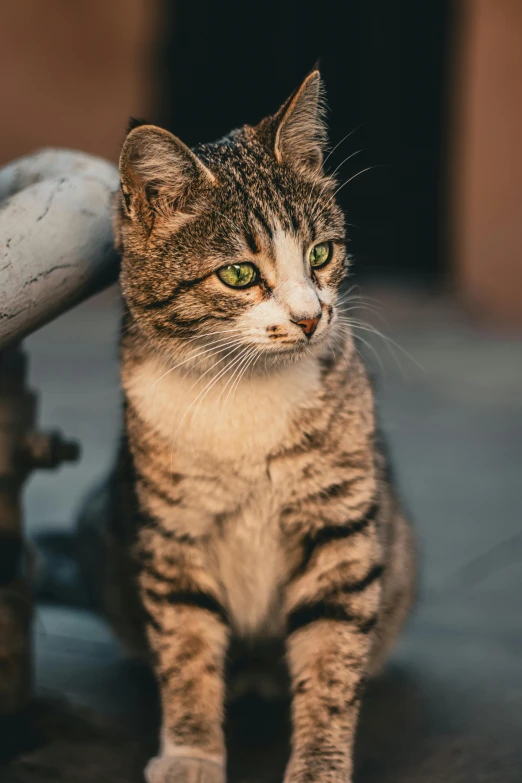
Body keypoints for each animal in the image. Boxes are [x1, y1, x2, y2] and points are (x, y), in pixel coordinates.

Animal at [97, 70, 414, 780]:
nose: (309, 317)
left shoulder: (340, 528)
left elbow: (331, 658)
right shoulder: (174, 535)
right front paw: (190, 752)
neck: (242, 387)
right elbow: (185, 652)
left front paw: (320, 766)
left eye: (321, 253)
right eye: (239, 273)